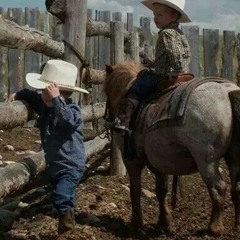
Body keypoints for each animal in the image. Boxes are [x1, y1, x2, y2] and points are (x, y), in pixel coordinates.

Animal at [104, 61, 240, 235]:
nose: (109, 120)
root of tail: (229, 92)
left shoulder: (132, 162)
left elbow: (135, 191)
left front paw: (136, 224)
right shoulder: (160, 163)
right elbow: (161, 191)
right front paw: (165, 222)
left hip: (207, 161)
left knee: (218, 188)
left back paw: (214, 228)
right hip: (233, 158)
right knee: (237, 187)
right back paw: (237, 224)